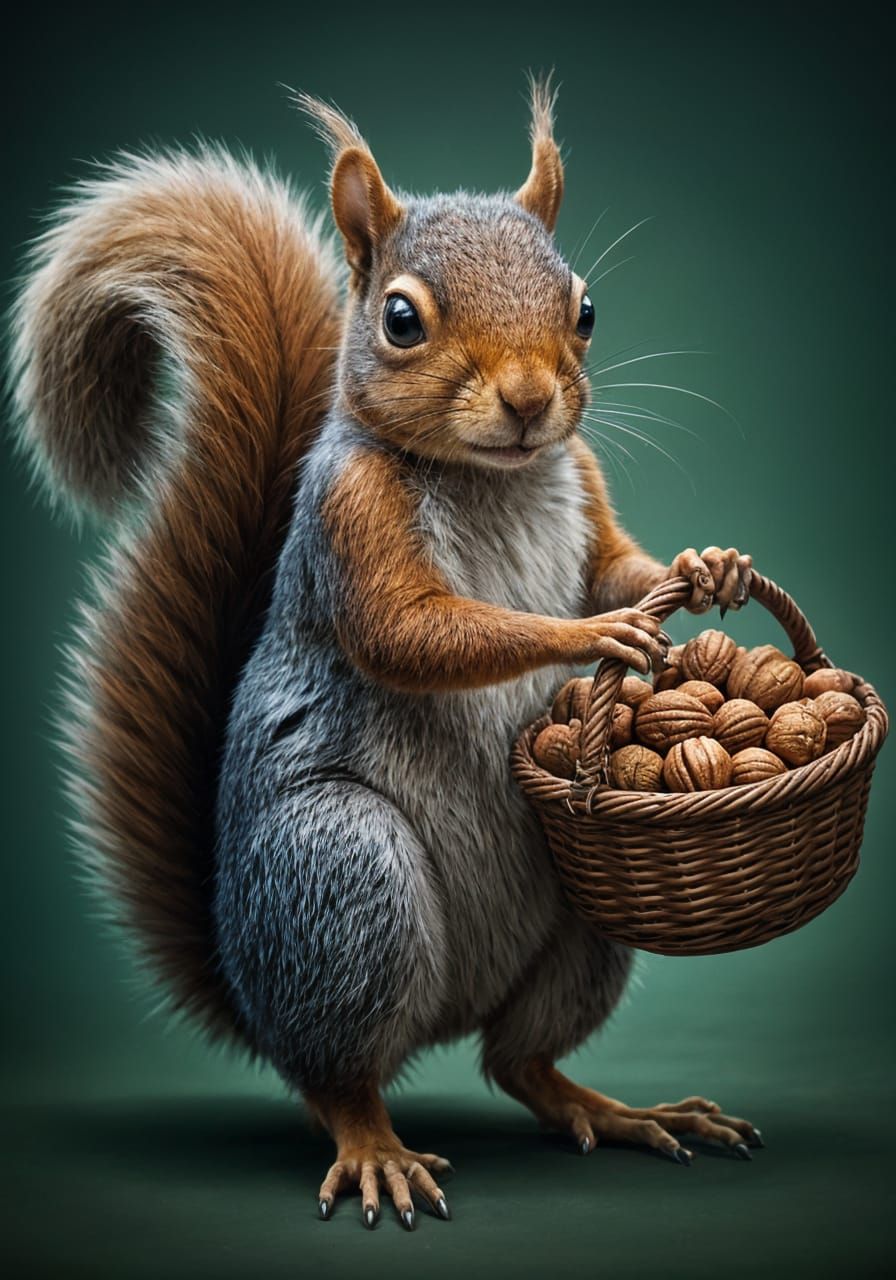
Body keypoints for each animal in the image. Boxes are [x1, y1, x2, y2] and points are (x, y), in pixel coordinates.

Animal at [9, 79, 760, 1230]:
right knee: (336, 1077)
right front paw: (586, 638)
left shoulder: (583, 484)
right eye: (400, 319)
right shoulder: (350, 517)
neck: (495, 474)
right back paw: (377, 1149)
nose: (530, 402)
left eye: (584, 308)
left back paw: (623, 1111)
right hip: (342, 876)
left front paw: (702, 566)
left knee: (518, 1062)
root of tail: (248, 983)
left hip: (580, 918)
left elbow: (615, 567)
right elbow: (410, 631)